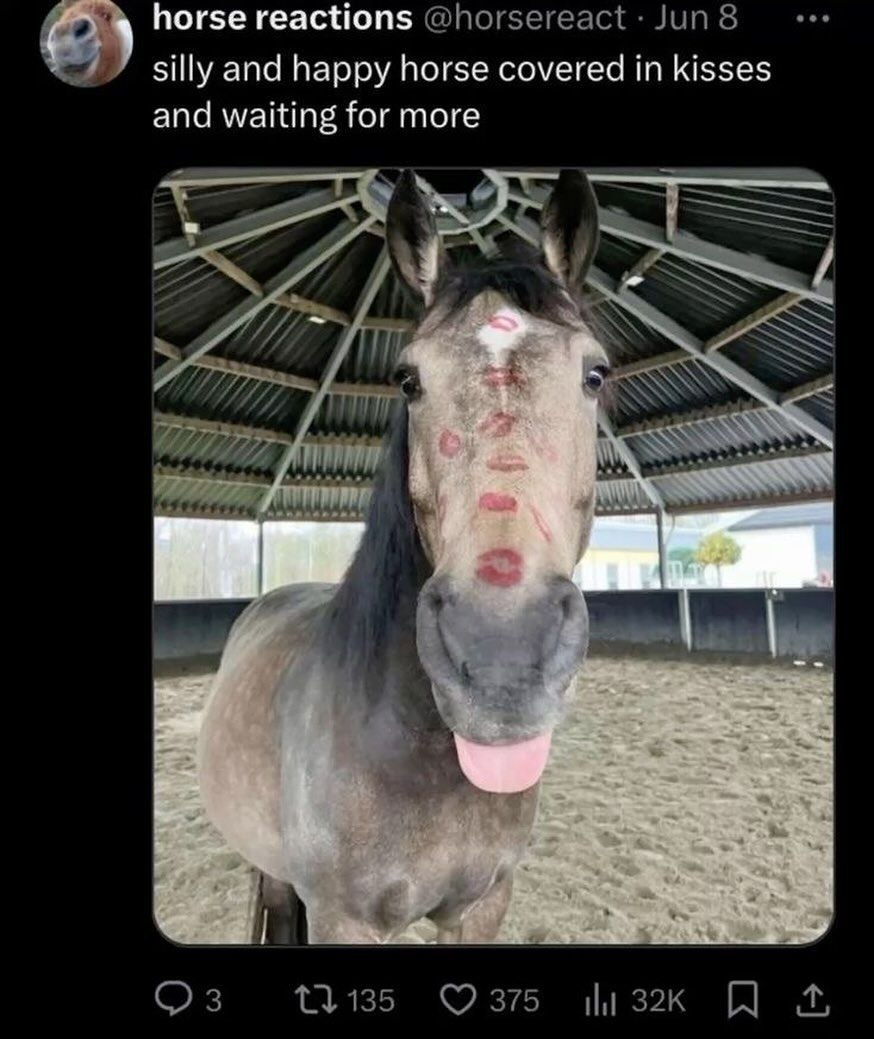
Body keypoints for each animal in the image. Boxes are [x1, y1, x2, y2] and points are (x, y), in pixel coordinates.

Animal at [197, 169, 611, 943]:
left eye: (595, 373)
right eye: (407, 379)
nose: (501, 654)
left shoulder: (484, 904)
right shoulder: (342, 918)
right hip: (273, 875)